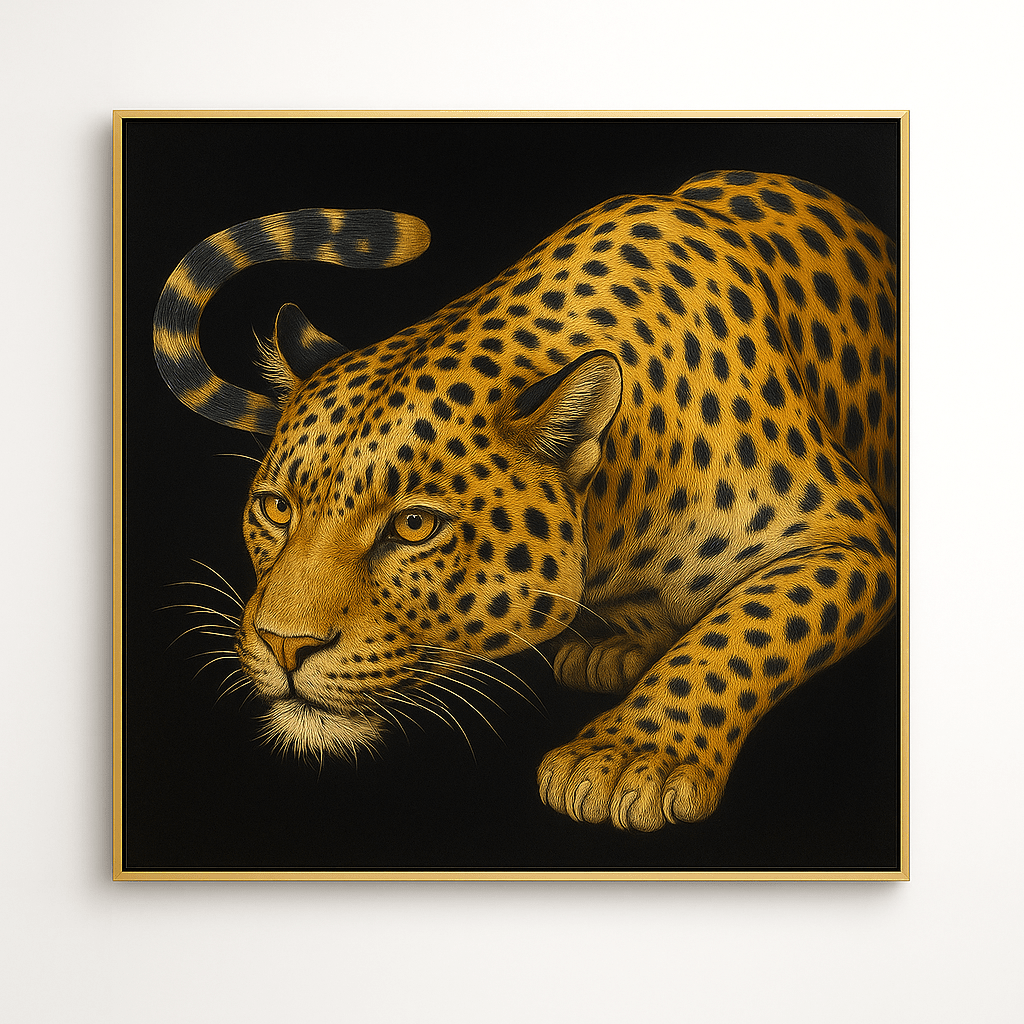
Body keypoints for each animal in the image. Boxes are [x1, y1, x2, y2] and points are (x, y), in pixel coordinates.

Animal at [153, 170, 899, 831]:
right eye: (277, 509)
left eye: (414, 526)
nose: (284, 647)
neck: (624, 498)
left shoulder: (854, 539)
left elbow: (744, 629)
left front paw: (629, 759)